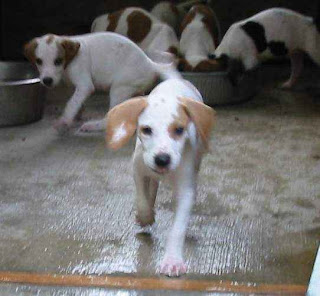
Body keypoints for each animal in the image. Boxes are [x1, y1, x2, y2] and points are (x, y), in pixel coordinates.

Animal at [23, 31, 180, 132]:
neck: (68, 63)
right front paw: (76, 116)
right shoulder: (75, 88)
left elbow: (71, 103)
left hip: (118, 90)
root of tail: (151, 64)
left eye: (58, 61)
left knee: (110, 119)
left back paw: (94, 125)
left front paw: (64, 120)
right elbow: (76, 102)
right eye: (39, 61)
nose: (47, 81)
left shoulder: (85, 85)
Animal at [105, 77, 215, 276]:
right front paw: (145, 217)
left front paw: (172, 261)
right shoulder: (138, 169)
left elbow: (177, 228)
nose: (162, 159)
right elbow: (142, 198)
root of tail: (176, 79)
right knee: (152, 187)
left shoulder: (186, 190)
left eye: (179, 129)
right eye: (146, 130)